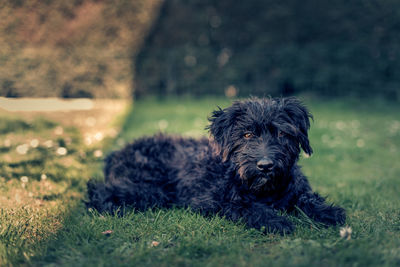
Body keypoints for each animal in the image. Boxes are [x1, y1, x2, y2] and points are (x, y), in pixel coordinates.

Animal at [87, 97, 344, 233]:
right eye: (247, 134)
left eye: (281, 133)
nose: (265, 165)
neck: (263, 190)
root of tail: (117, 153)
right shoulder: (212, 202)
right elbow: (249, 208)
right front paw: (275, 221)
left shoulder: (295, 191)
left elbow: (307, 199)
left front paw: (327, 212)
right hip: (150, 189)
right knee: (98, 189)